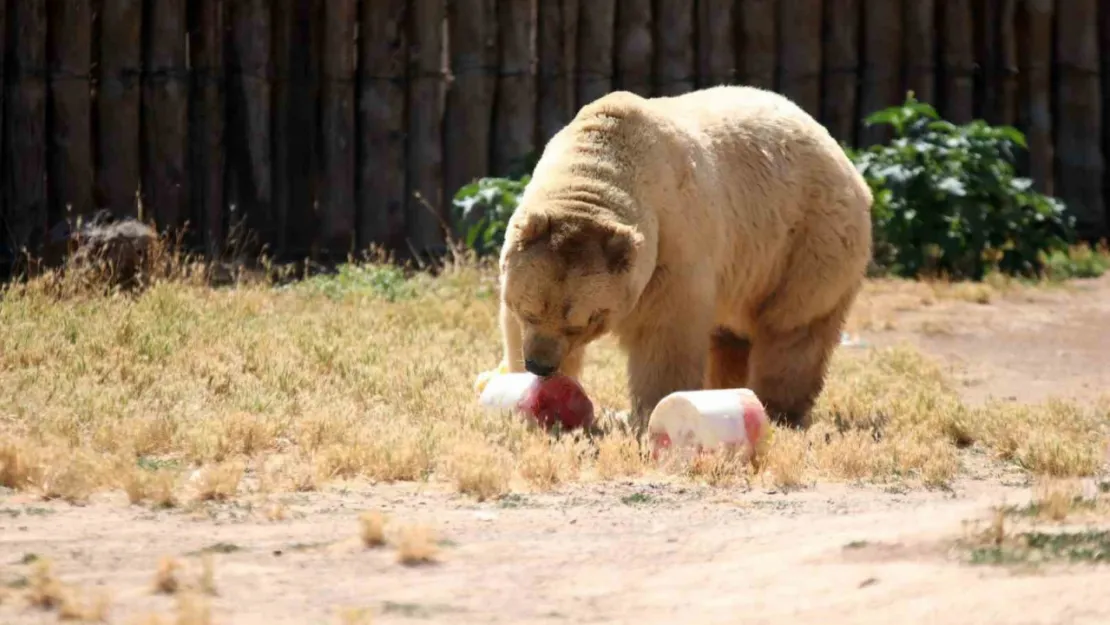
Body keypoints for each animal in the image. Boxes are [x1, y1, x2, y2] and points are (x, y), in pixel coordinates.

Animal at [486, 84, 874, 435]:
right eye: (528, 309)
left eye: (582, 322)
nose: (541, 365)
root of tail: (844, 158)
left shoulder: (674, 242)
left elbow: (666, 333)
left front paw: (650, 412)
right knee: (731, 338)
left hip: (806, 242)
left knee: (795, 329)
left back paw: (779, 409)